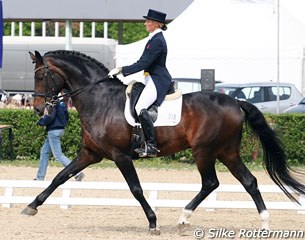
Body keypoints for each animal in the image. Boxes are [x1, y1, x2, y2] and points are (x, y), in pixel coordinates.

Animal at [23, 49, 304, 235]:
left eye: (41, 76)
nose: (37, 109)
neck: (99, 99)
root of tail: (236, 101)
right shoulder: (91, 153)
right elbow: (60, 177)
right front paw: (31, 206)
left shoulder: (120, 156)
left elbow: (136, 189)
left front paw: (153, 222)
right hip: (227, 152)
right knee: (249, 181)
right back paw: (264, 222)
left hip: (204, 151)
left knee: (210, 183)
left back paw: (183, 219)